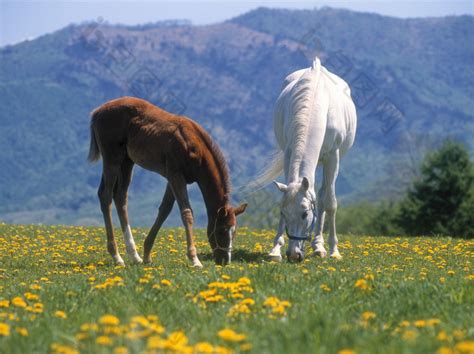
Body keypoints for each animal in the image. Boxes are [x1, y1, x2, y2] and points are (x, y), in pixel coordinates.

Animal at [87, 97, 248, 266]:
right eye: (222, 230)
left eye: (235, 231)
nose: (225, 261)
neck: (194, 147)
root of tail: (98, 111)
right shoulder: (175, 175)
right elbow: (186, 213)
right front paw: (194, 259)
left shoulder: (174, 178)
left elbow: (165, 209)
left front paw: (147, 254)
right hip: (112, 159)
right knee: (106, 196)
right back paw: (117, 256)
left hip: (127, 161)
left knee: (120, 197)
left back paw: (134, 255)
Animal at [252, 58, 356, 262]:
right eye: (283, 212)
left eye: (305, 213)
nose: (293, 254)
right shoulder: (288, 152)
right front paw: (275, 250)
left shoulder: (333, 157)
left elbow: (330, 203)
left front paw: (334, 251)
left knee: (323, 198)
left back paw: (319, 246)